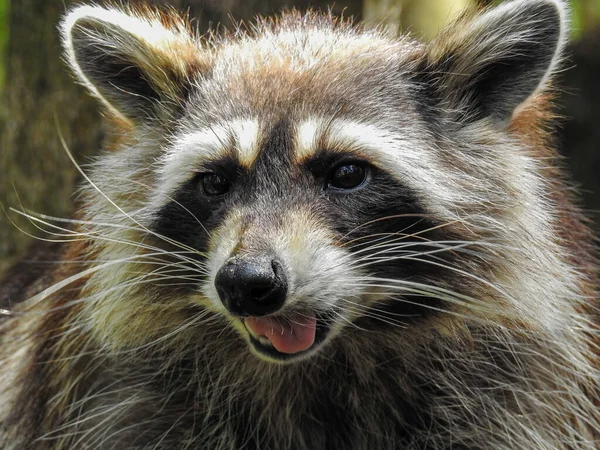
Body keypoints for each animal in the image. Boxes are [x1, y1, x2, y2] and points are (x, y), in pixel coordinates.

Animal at [1, 0, 600, 448]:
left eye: (346, 173)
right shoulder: (114, 391)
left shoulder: (522, 387)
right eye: (215, 181)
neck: (328, 362)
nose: (246, 283)